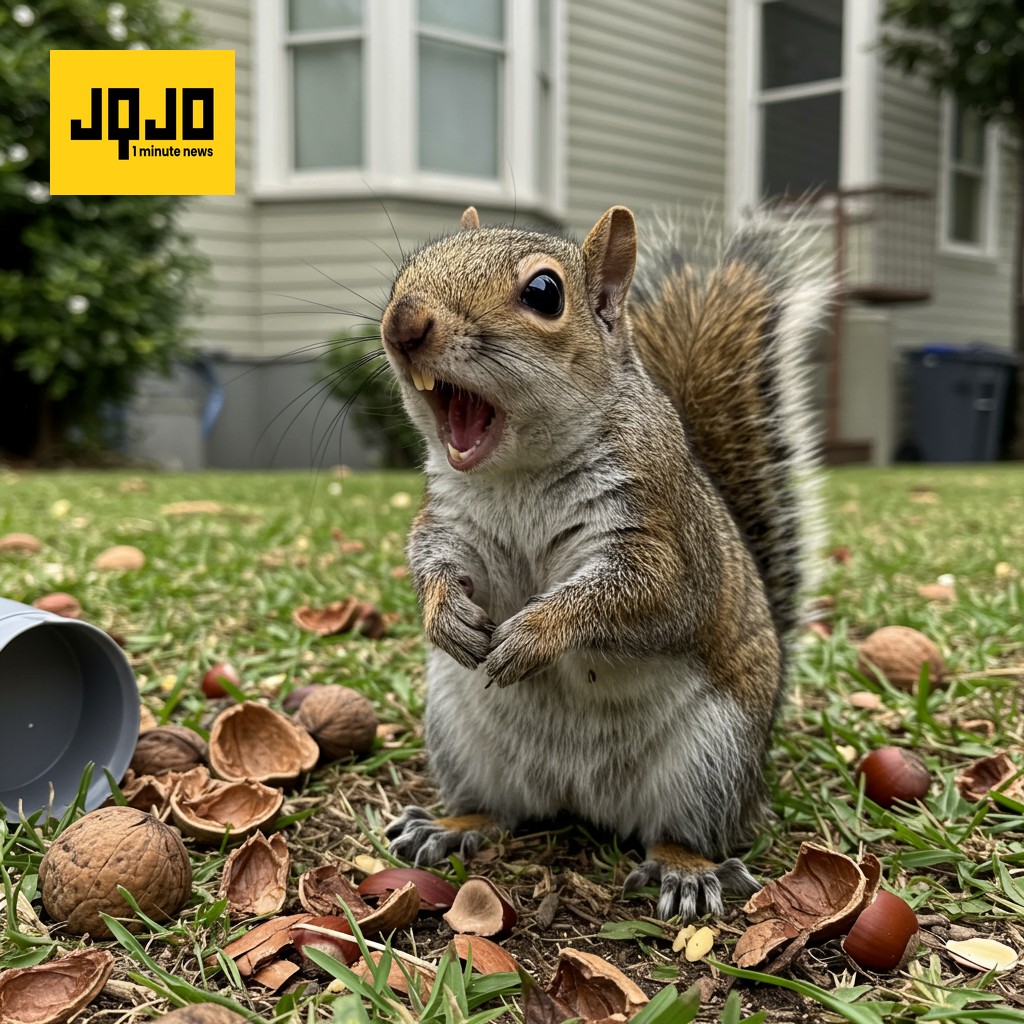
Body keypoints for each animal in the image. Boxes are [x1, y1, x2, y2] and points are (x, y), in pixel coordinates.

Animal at [378, 204, 830, 921]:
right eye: (407, 271)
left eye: (544, 293)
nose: (403, 324)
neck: (519, 475)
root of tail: (577, 796)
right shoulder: (450, 522)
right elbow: (430, 560)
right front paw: (444, 615)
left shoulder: (661, 542)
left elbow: (633, 596)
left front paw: (535, 634)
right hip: (460, 737)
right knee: (499, 811)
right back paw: (449, 825)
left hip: (712, 758)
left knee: (682, 830)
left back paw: (684, 870)